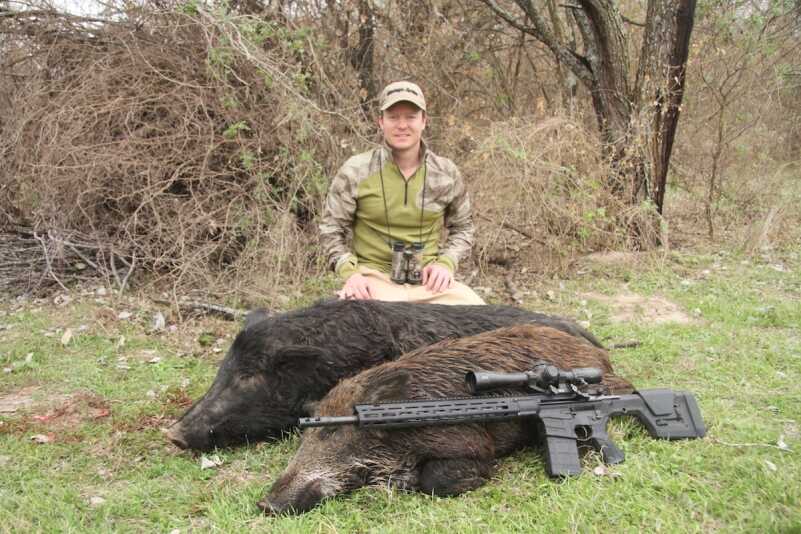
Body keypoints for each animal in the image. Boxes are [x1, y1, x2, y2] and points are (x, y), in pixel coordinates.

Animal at [259, 324, 633, 514]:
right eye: (308, 434)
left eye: (333, 433)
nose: (265, 503)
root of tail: (599, 353)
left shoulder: (469, 442)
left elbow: (436, 479)